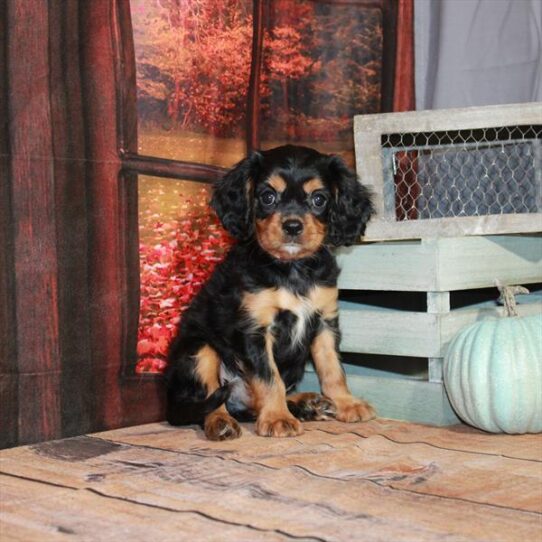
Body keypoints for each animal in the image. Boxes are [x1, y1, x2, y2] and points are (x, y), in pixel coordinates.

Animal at [168, 146, 376, 442]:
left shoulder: (325, 322)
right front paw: (277, 418)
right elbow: (269, 378)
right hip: (199, 349)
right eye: (268, 197)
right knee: (211, 400)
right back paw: (222, 422)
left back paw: (306, 404)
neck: (291, 270)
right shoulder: (255, 329)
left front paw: (346, 403)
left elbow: (333, 369)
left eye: (319, 199)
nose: (292, 226)